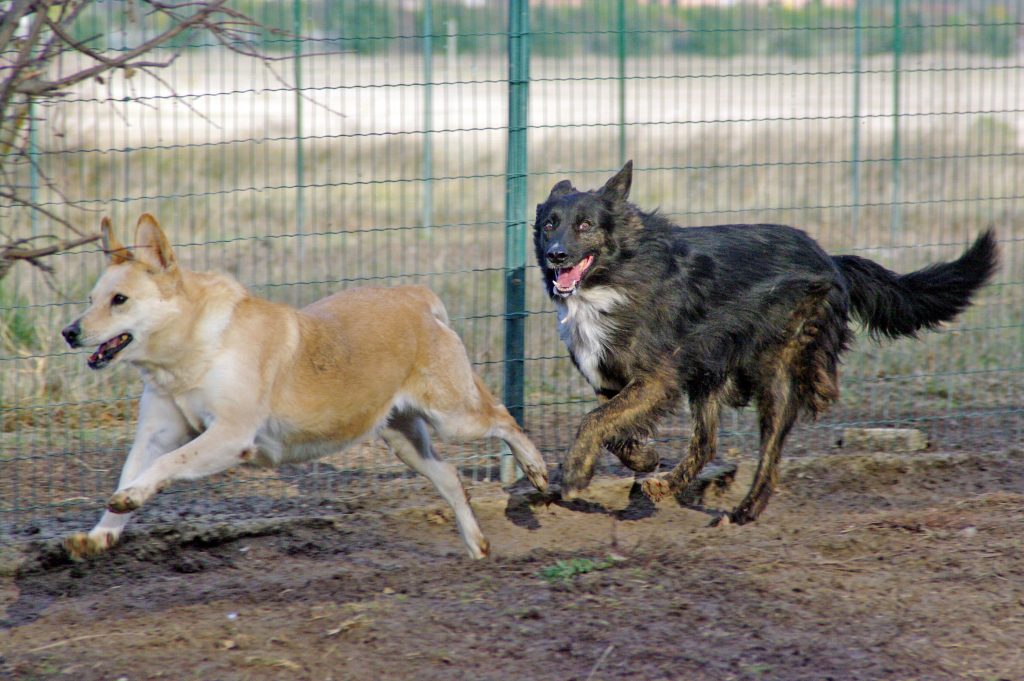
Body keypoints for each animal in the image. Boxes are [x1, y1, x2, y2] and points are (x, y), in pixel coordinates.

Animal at [59, 214, 548, 557]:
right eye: (90, 299)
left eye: (120, 300)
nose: (68, 332)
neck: (194, 349)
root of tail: (417, 297)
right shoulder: (155, 432)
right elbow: (134, 470)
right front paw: (102, 533)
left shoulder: (231, 435)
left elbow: (166, 465)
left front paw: (132, 498)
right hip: (403, 438)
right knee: (450, 478)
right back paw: (476, 545)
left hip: (453, 416)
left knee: (504, 418)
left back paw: (537, 471)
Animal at [536, 161, 999, 522]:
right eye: (548, 225)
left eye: (585, 225)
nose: (556, 255)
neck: (613, 277)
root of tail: (831, 259)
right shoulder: (616, 380)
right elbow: (612, 426)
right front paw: (642, 459)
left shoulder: (657, 377)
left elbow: (594, 421)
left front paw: (574, 474)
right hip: (710, 371)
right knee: (706, 443)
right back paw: (666, 485)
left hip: (775, 375)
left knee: (771, 452)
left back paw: (746, 510)